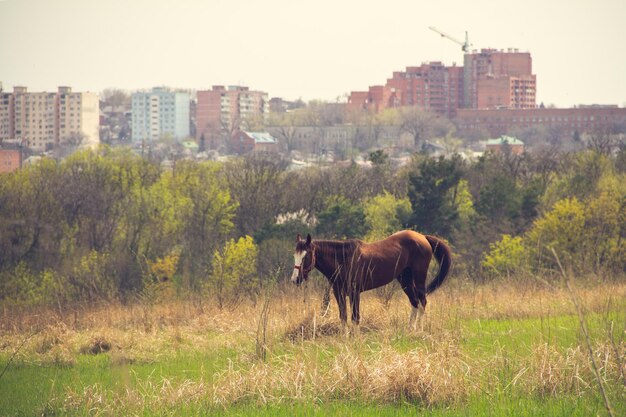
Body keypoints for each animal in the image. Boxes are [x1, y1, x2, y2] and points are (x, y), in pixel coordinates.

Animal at [290, 231, 450, 328]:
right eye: (295, 255)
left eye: (305, 255)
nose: (295, 279)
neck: (343, 259)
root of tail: (423, 237)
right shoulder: (338, 293)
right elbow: (343, 317)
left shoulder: (354, 292)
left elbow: (355, 317)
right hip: (405, 280)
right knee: (415, 302)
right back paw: (410, 329)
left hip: (419, 278)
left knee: (422, 302)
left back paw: (418, 330)